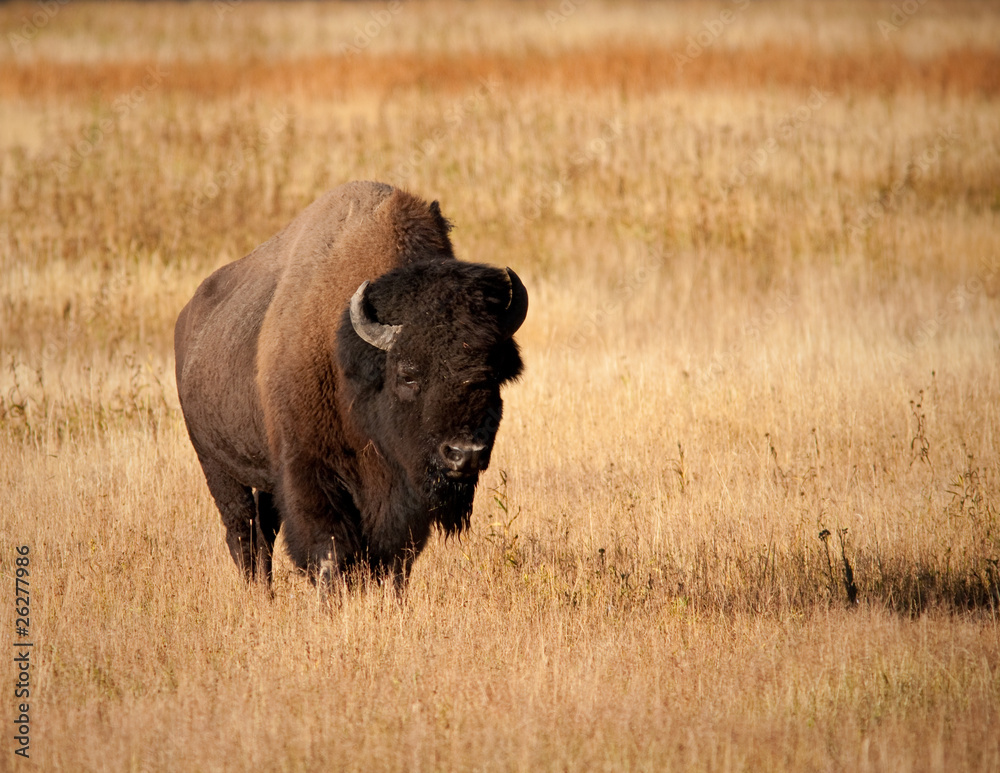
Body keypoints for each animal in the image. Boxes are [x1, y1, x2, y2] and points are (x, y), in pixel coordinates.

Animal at [175, 182, 528, 592]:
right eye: (408, 374)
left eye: (493, 374)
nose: (464, 454)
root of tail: (188, 317)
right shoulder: (309, 472)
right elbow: (329, 550)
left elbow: (397, 559)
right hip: (215, 463)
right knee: (242, 531)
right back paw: (258, 592)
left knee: (263, 531)